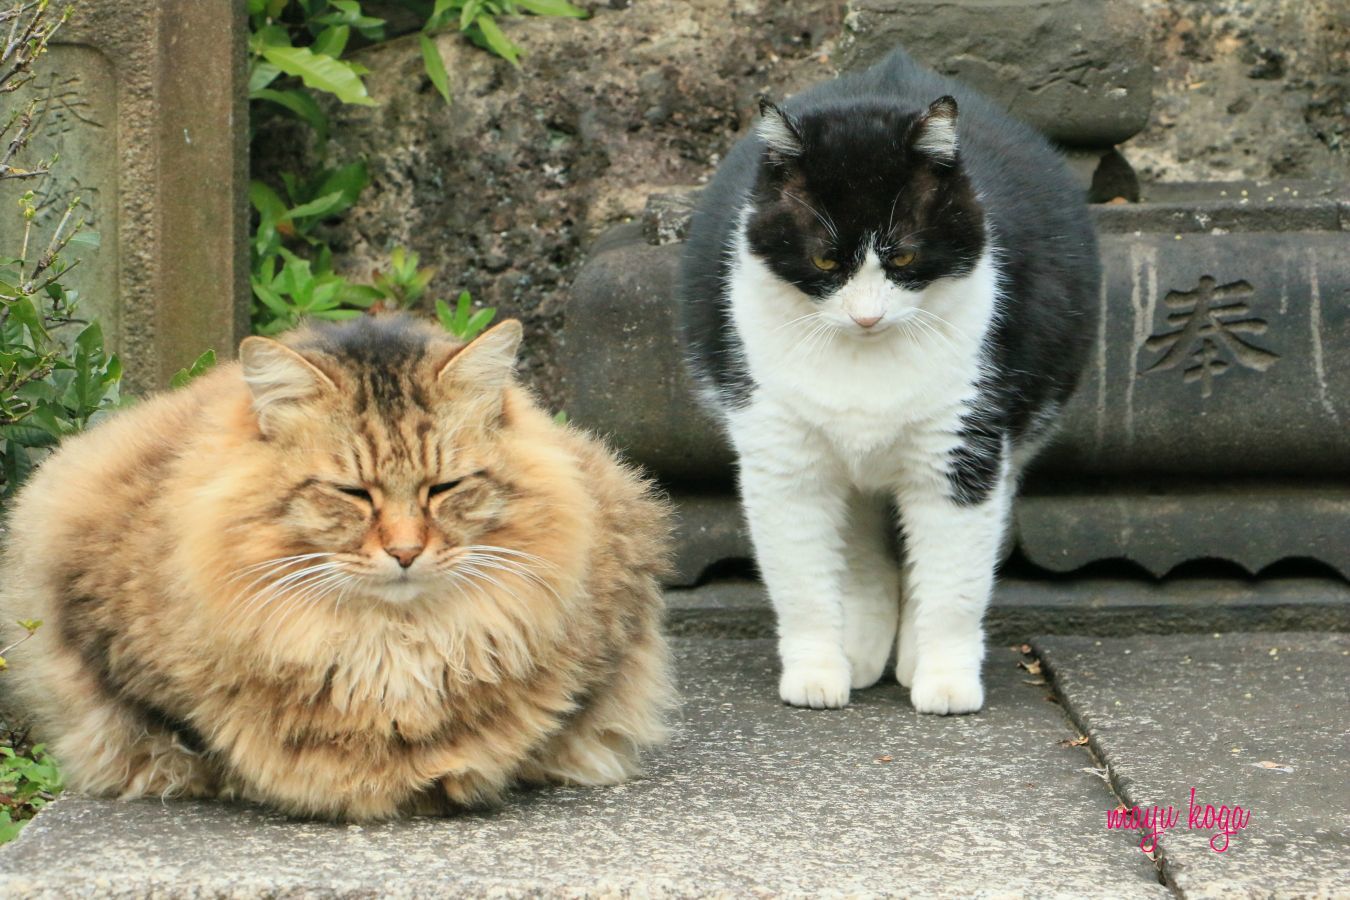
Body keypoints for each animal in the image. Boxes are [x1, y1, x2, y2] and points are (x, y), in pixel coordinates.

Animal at [680, 50, 1101, 717]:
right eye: (826, 260)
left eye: (902, 257)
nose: (867, 315)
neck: (865, 360)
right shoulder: (782, 459)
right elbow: (800, 581)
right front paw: (816, 672)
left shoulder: (963, 450)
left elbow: (955, 580)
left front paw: (946, 680)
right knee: (859, 554)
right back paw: (861, 650)